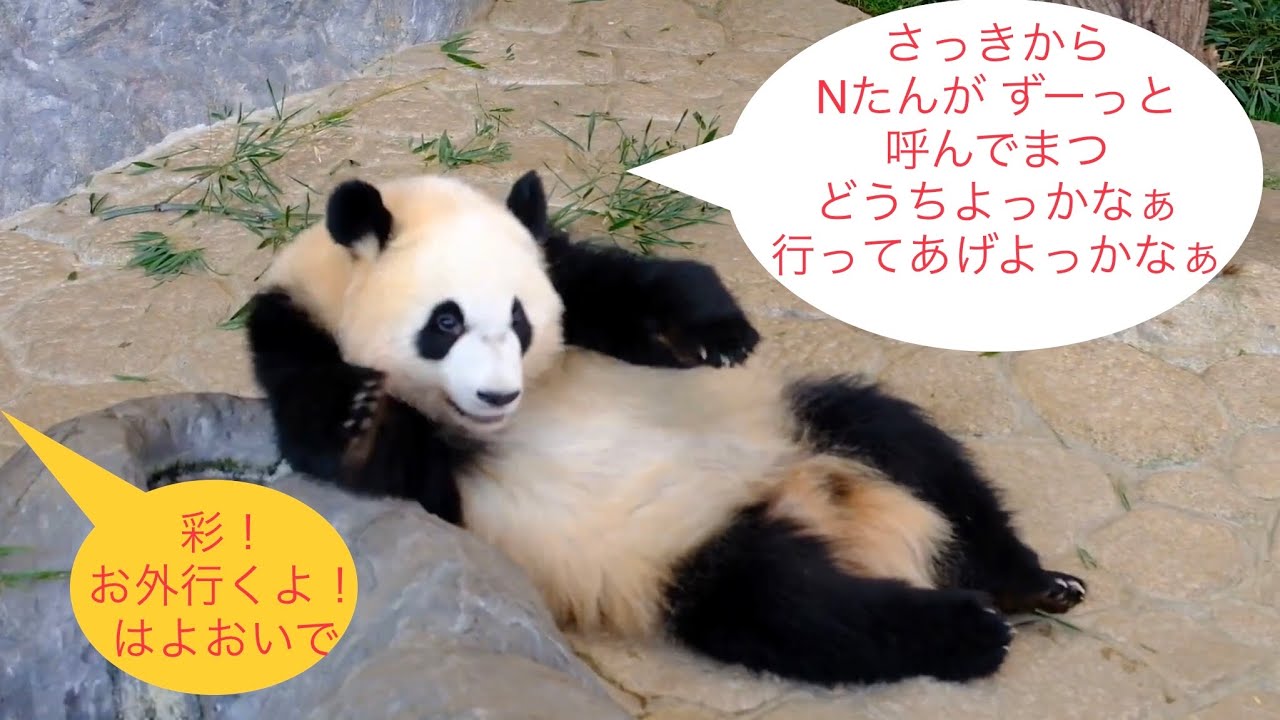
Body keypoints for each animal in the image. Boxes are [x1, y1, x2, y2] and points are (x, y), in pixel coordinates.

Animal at [245, 169, 1087, 688]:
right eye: (444, 323)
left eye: (520, 322)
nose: (497, 393)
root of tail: (815, 505)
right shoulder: (293, 337)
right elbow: (366, 456)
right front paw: (362, 416)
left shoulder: (560, 272)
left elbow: (629, 287)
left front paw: (714, 334)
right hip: (682, 557)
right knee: (797, 607)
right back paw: (969, 630)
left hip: (796, 424)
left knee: (910, 448)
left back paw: (1030, 583)